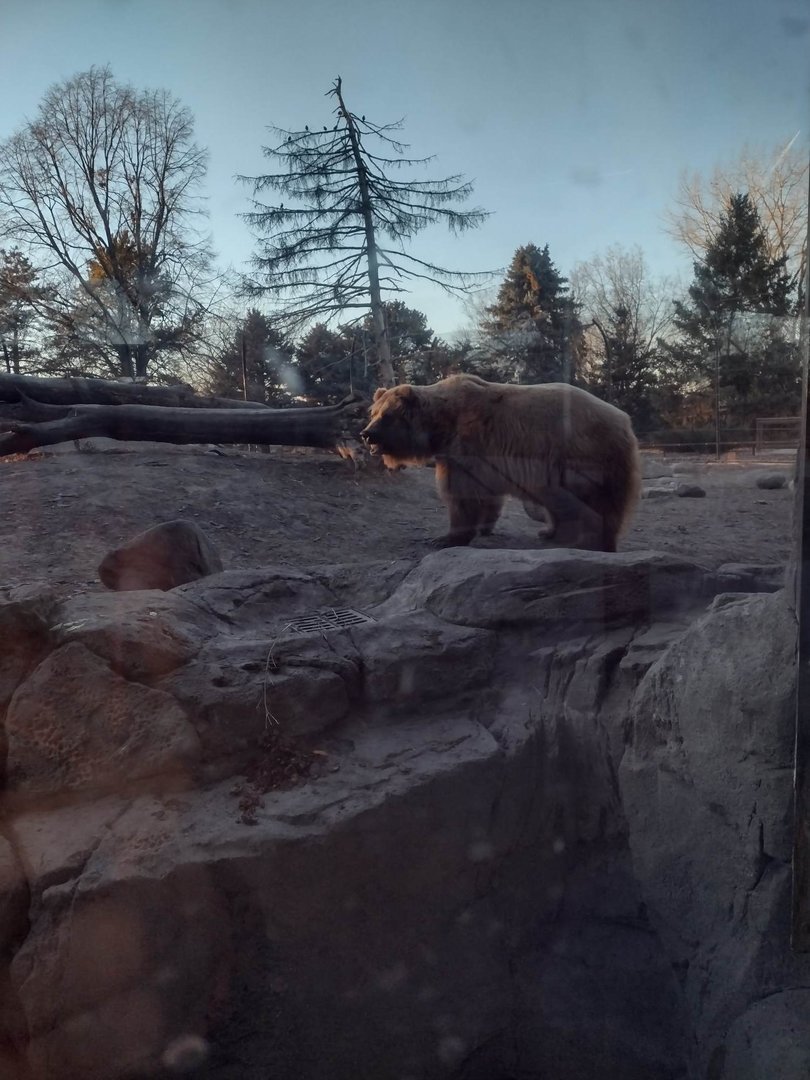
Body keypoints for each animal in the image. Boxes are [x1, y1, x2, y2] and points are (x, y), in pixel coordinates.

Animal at [360, 373, 642, 551]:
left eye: (387, 415)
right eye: (373, 412)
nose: (366, 434)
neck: (441, 426)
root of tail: (625, 419)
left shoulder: (468, 447)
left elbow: (462, 495)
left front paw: (446, 538)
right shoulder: (482, 458)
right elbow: (487, 496)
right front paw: (484, 527)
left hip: (585, 456)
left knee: (597, 503)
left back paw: (596, 541)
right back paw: (550, 532)